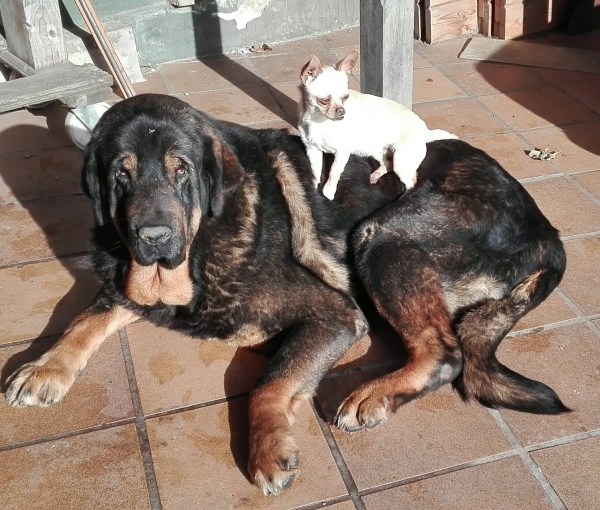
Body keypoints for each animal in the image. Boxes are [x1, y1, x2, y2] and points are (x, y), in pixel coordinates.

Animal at [4, 94, 568, 494]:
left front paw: (267, 446)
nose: (154, 238)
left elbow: (267, 385)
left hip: (382, 236)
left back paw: (374, 394)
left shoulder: (334, 315)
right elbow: (86, 317)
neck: (207, 237)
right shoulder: (131, 285)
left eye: (180, 170)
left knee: (445, 353)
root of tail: (547, 230)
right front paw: (46, 366)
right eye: (121, 174)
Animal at [298, 50, 458, 200]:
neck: (318, 121)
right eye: (324, 100)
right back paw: (376, 175)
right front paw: (313, 187)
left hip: (402, 161)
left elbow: (334, 172)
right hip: (377, 150)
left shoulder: (342, 152)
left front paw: (329, 192)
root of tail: (425, 130)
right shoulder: (312, 150)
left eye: (345, 98)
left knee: (412, 182)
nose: (342, 111)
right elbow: (315, 171)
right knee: (388, 164)